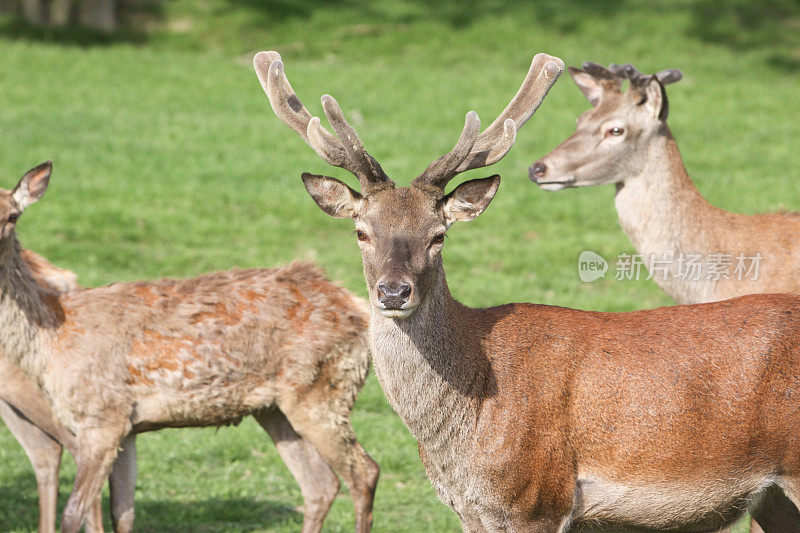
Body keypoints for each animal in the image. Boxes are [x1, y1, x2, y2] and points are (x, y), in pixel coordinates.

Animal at [0, 161, 378, 532]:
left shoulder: (101, 417)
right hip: (275, 409)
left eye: (13, 215)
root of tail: (358, 309)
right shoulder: (126, 426)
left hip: (324, 391)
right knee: (320, 485)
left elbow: (73, 515)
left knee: (364, 473)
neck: (51, 340)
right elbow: (122, 513)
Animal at [258, 48, 800, 528]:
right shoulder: (471, 511)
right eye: (361, 231)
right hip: (773, 498)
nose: (393, 292)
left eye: (438, 235)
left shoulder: (537, 497)